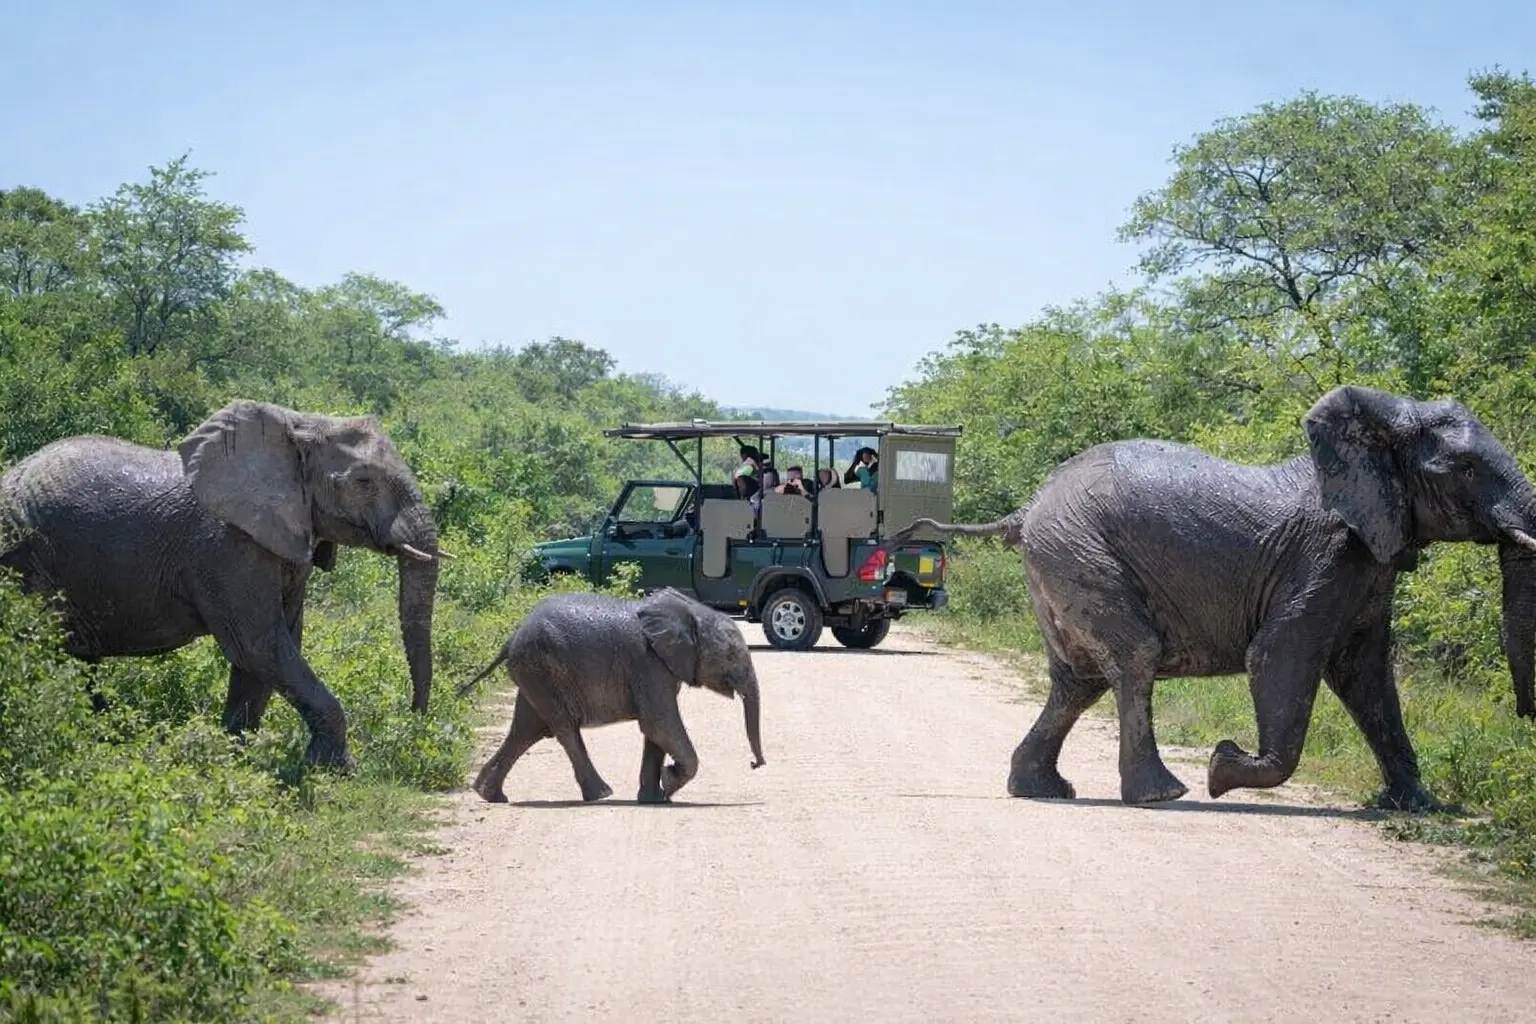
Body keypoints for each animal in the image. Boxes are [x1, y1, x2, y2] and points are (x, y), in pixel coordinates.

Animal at [0, 399, 451, 769]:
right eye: (363, 482)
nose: (414, 717)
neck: (300, 424)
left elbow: (274, 649)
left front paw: (233, 758)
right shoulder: (227, 546)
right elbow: (259, 645)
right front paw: (332, 770)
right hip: (22, 553)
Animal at [462, 587, 766, 804]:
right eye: (730, 655)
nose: (755, 764)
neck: (692, 612)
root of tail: (511, 638)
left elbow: (656, 732)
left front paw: (655, 799)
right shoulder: (648, 664)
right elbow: (659, 724)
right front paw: (669, 782)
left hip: (534, 674)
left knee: (525, 730)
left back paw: (490, 795)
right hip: (542, 669)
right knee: (563, 728)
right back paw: (601, 794)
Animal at [896, 385, 1536, 812]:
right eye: (1467, 469)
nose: (1525, 717)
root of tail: (1028, 506)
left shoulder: (1370, 565)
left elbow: (1369, 677)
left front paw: (1421, 807)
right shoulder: (1324, 557)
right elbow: (1279, 655)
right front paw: (1222, 769)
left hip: (1063, 561)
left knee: (1079, 680)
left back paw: (1045, 791)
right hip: (1078, 551)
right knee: (1133, 657)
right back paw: (1164, 794)